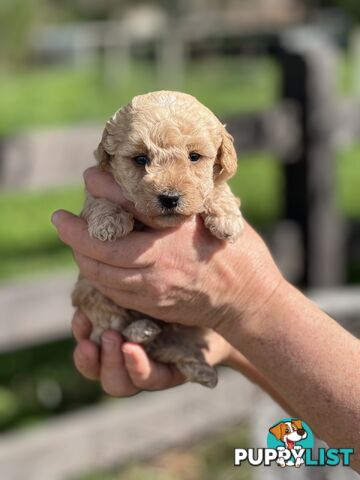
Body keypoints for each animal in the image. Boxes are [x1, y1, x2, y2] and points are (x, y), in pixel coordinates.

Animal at [71, 90, 243, 388]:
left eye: (194, 157)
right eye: (141, 159)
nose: (170, 198)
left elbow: (218, 187)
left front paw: (227, 218)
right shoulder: (95, 189)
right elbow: (98, 201)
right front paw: (109, 221)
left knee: (170, 349)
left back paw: (202, 370)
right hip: (92, 294)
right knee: (112, 333)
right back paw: (142, 330)